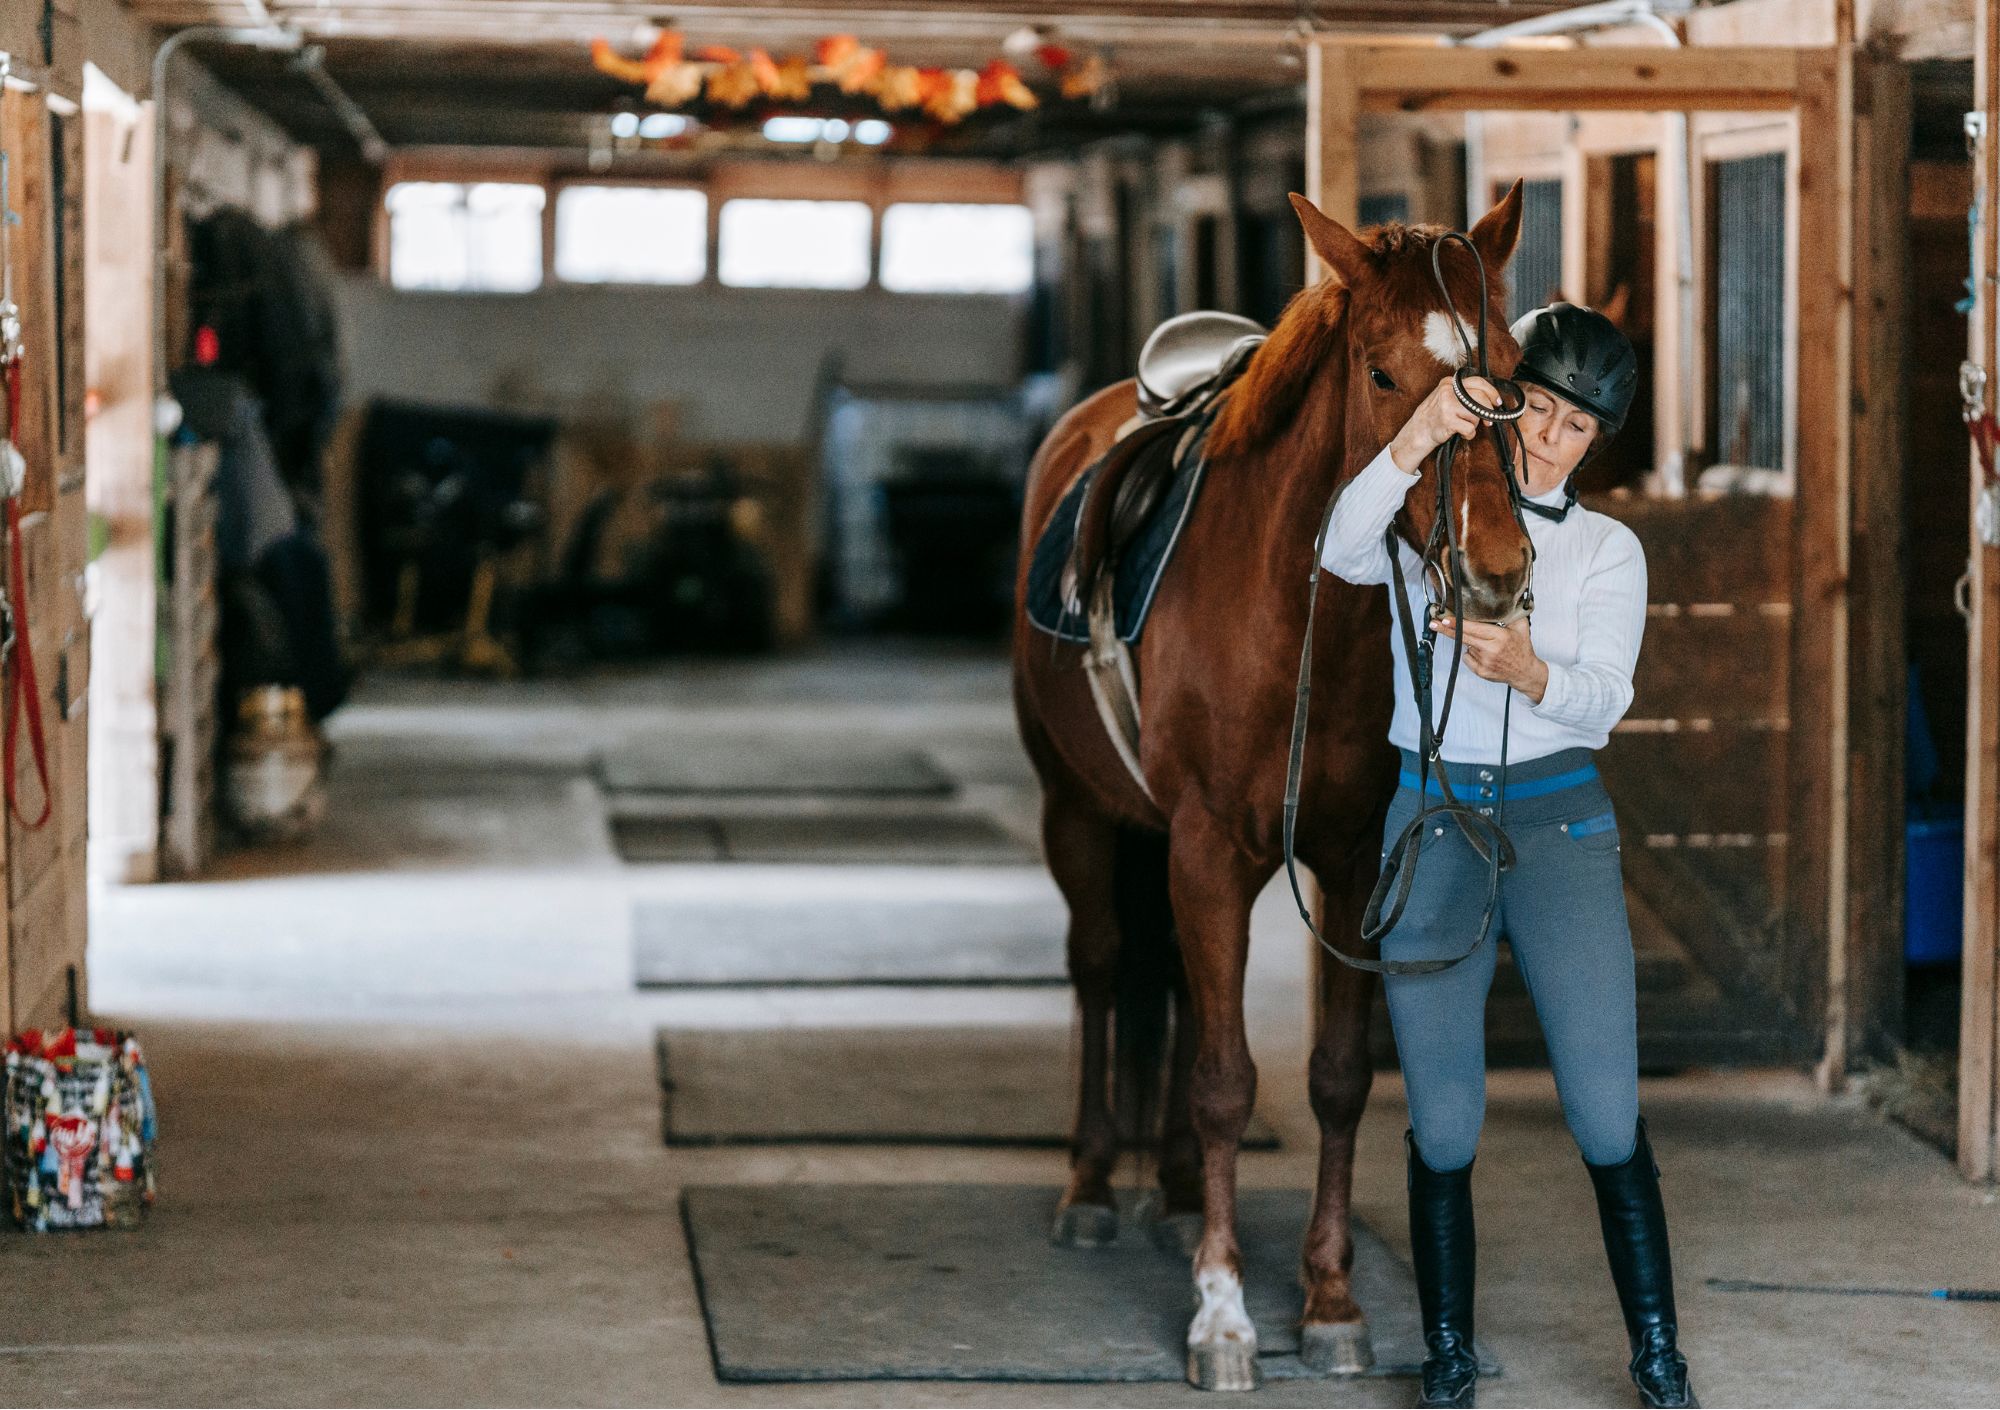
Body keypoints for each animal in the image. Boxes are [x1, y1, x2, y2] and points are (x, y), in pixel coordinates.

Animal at [1009, 182, 1532, 1392]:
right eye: (1382, 375)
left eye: (1512, 369)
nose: (1494, 574)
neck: (1301, 614)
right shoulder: (1209, 852)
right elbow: (1224, 1080)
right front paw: (1223, 1316)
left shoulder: (1353, 862)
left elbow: (1334, 1076)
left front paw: (1331, 1302)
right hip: (1078, 813)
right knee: (1102, 967)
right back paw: (1093, 1187)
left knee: (1160, 978)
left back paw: (1166, 1193)